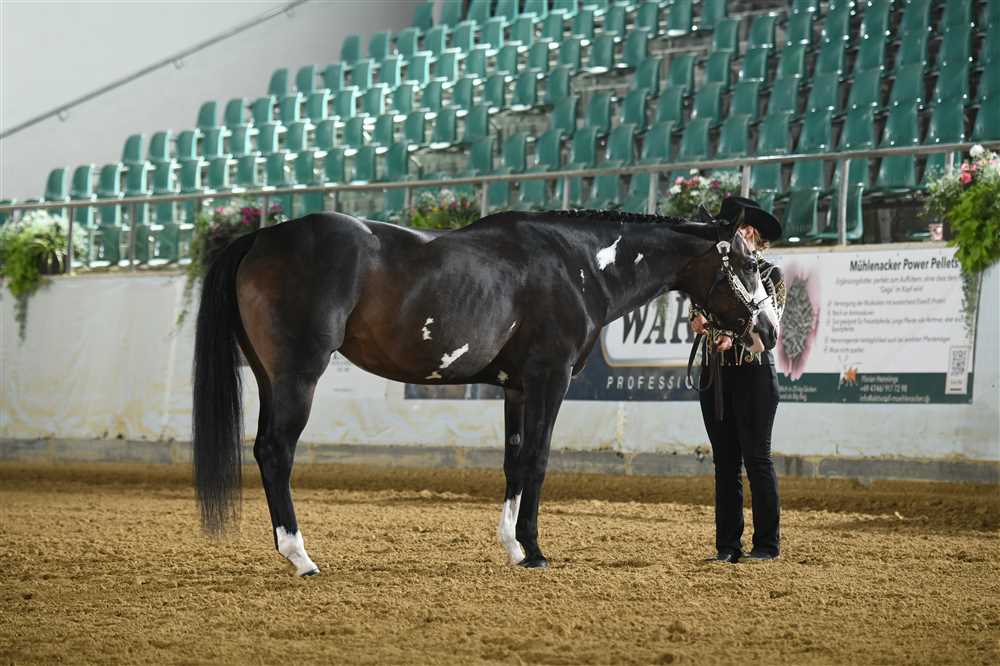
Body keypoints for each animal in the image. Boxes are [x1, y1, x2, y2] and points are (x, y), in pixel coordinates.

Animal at [192, 208, 780, 576]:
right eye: (747, 264)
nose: (768, 331)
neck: (577, 265)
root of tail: (262, 237)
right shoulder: (549, 379)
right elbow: (538, 461)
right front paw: (535, 551)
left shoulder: (516, 388)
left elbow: (514, 462)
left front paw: (514, 547)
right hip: (298, 376)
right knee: (276, 451)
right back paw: (300, 556)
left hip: (269, 376)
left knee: (266, 450)